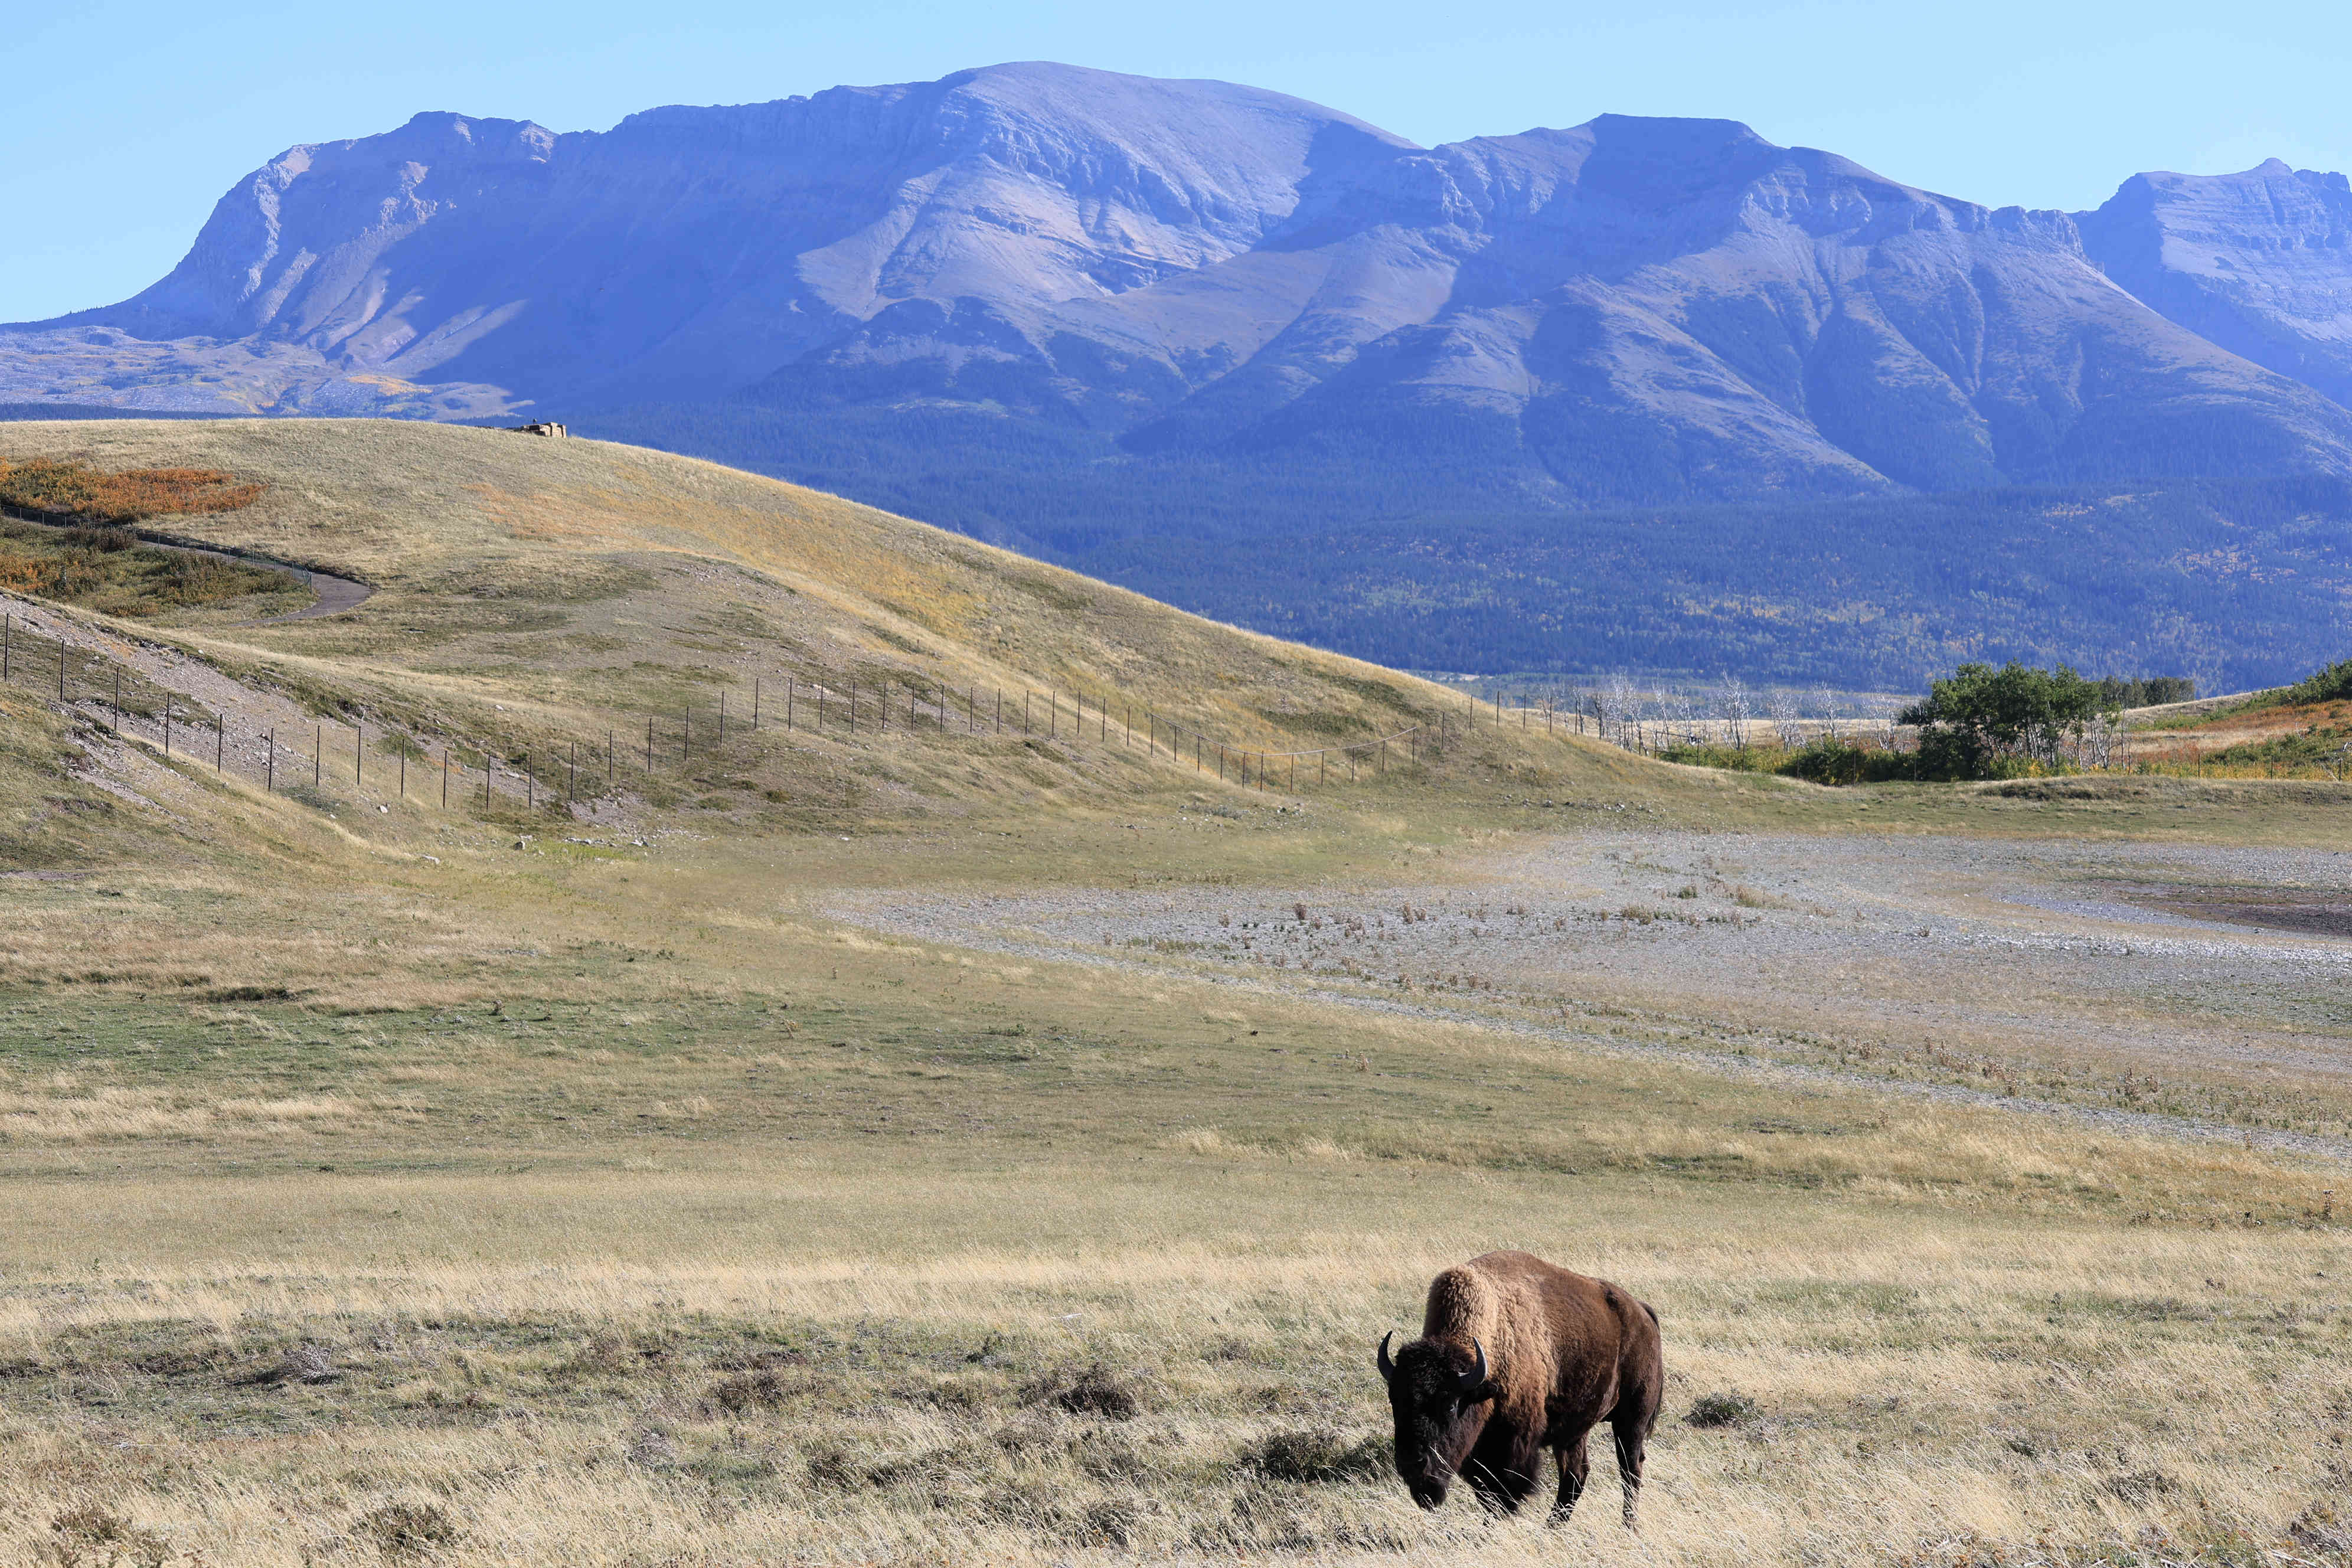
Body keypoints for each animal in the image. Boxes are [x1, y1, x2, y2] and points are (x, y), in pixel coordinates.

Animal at [1376, 1250, 1663, 1526]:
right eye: (1395, 1401)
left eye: (1451, 1404)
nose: (1413, 1464)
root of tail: (1643, 1313)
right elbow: (1487, 1494)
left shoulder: (1515, 1444)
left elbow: (1505, 1494)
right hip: (1574, 1430)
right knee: (1576, 1475)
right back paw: (1553, 1527)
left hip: (1632, 1420)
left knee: (1630, 1470)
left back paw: (1628, 1526)